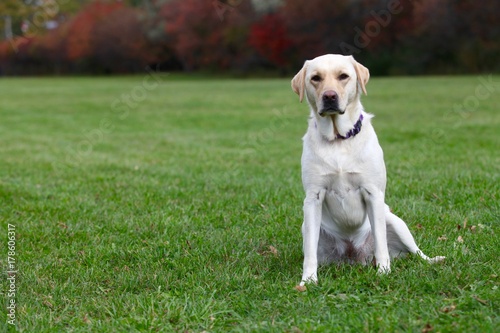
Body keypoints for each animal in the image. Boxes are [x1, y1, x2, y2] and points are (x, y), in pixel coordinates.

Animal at [292, 54, 444, 286]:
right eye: (315, 78)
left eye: (343, 76)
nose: (329, 96)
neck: (338, 139)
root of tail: (356, 257)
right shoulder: (313, 198)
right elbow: (309, 252)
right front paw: (308, 280)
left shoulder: (373, 193)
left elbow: (381, 243)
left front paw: (383, 272)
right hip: (309, 229)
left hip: (395, 221)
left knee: (416, 252)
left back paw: (433, 259)